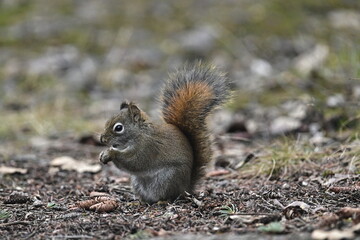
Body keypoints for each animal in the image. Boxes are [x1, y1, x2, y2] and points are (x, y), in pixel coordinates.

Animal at [98, 62, 231, 203]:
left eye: (118, 128)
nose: (102, 139)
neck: (139, 134)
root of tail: (186, 188)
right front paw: (103, 153)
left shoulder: (147, 148)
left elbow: (134, 162)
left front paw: (111, 153)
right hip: (137, 182)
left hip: (167, 179)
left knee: (168, 196)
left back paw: (163, 200)